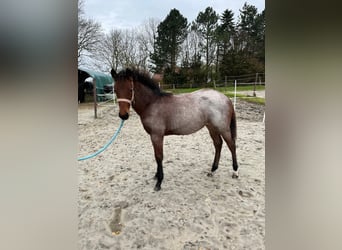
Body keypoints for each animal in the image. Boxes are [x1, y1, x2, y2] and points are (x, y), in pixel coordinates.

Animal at [111, 67, 239, 190]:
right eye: (115, 90)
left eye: (130, 90)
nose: (123, 115)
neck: (152, 104)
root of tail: (225, 98)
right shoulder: (153, 136)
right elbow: (156, 156)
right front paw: (156, 176)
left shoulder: (157, 135)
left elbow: (159, 157)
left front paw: (159, 182)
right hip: (211, 127)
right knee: (218, 144)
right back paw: (212, 170)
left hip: (223, 128)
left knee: (231, 145)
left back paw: (235, 172)